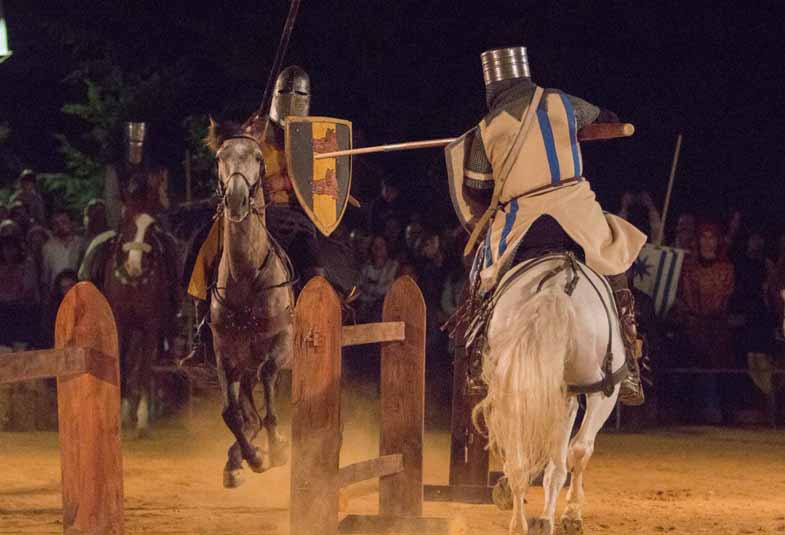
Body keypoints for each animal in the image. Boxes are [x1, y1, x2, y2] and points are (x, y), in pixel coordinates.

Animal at [474, 252, 628, 535]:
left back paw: (522, 522)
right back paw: (563, 515)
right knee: (578, 449)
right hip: (599, 392)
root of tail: (556, 289)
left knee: (523, 460)